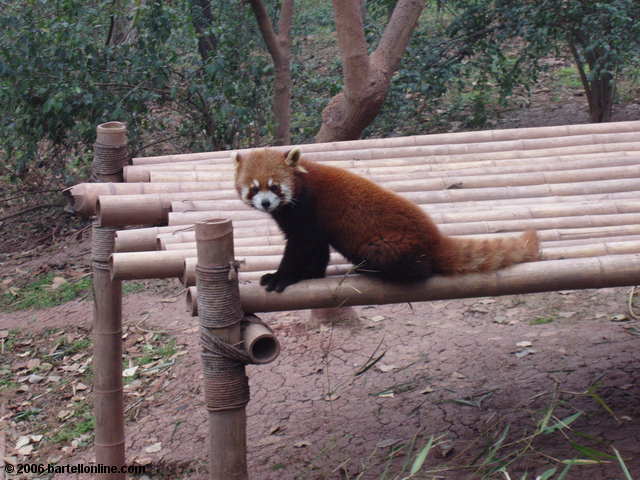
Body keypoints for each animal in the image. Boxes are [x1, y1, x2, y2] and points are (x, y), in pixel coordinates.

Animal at [232, 149, 536, 292]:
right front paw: (311, 273)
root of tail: (433, 236)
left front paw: (281, 277)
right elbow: (317, 250)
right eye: (254, 189)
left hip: (385, 244)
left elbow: (300, 247)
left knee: (415, 268)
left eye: (274, 187)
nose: (266, 203)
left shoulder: (307, 212)